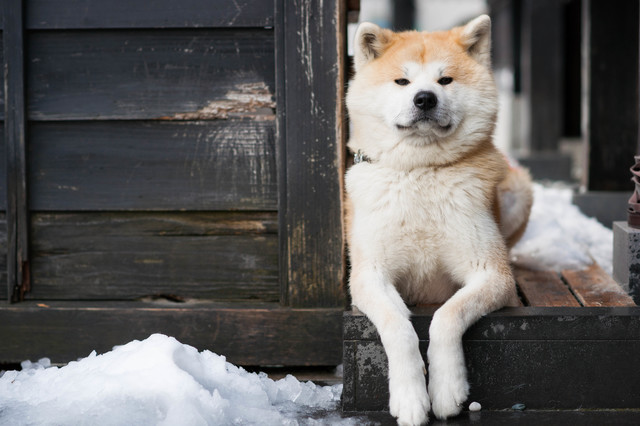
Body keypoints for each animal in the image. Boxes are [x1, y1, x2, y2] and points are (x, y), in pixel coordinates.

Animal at [348, 15, 532, 424]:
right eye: (402, 81)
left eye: (445, 80)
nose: (425, 98)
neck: (421, 171)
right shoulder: (369, 275)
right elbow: (398, 326)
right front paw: (410, 398)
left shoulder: (491, 274)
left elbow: (447, 316)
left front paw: (447, 389)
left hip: (519, 189)